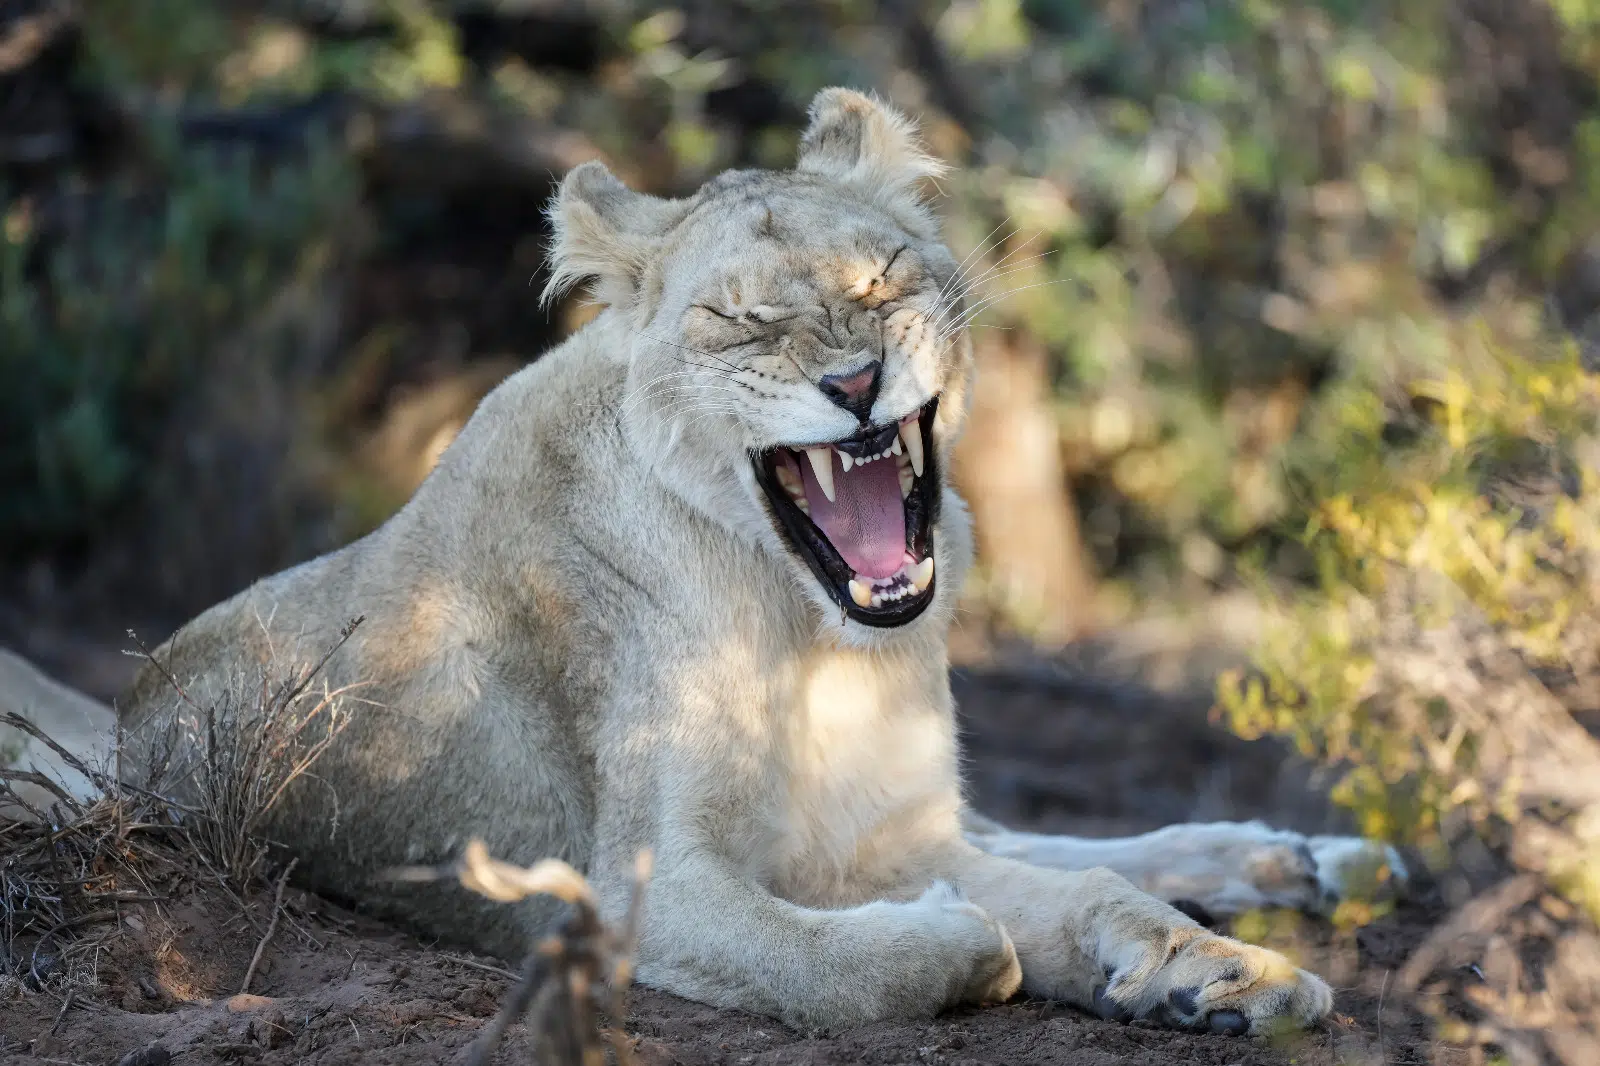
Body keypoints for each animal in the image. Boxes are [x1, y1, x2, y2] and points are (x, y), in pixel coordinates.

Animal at [0, 88, 1405, 1035]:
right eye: (741, 319)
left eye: (883, 279)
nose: (855, 383)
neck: (814, 634)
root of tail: (122, 724)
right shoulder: (632, 894)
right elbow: (865, 963)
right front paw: (976, 938)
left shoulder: (881, 827)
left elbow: (1087, 896)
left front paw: (1227, 974)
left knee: (1072, 844)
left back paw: (1305, 866)